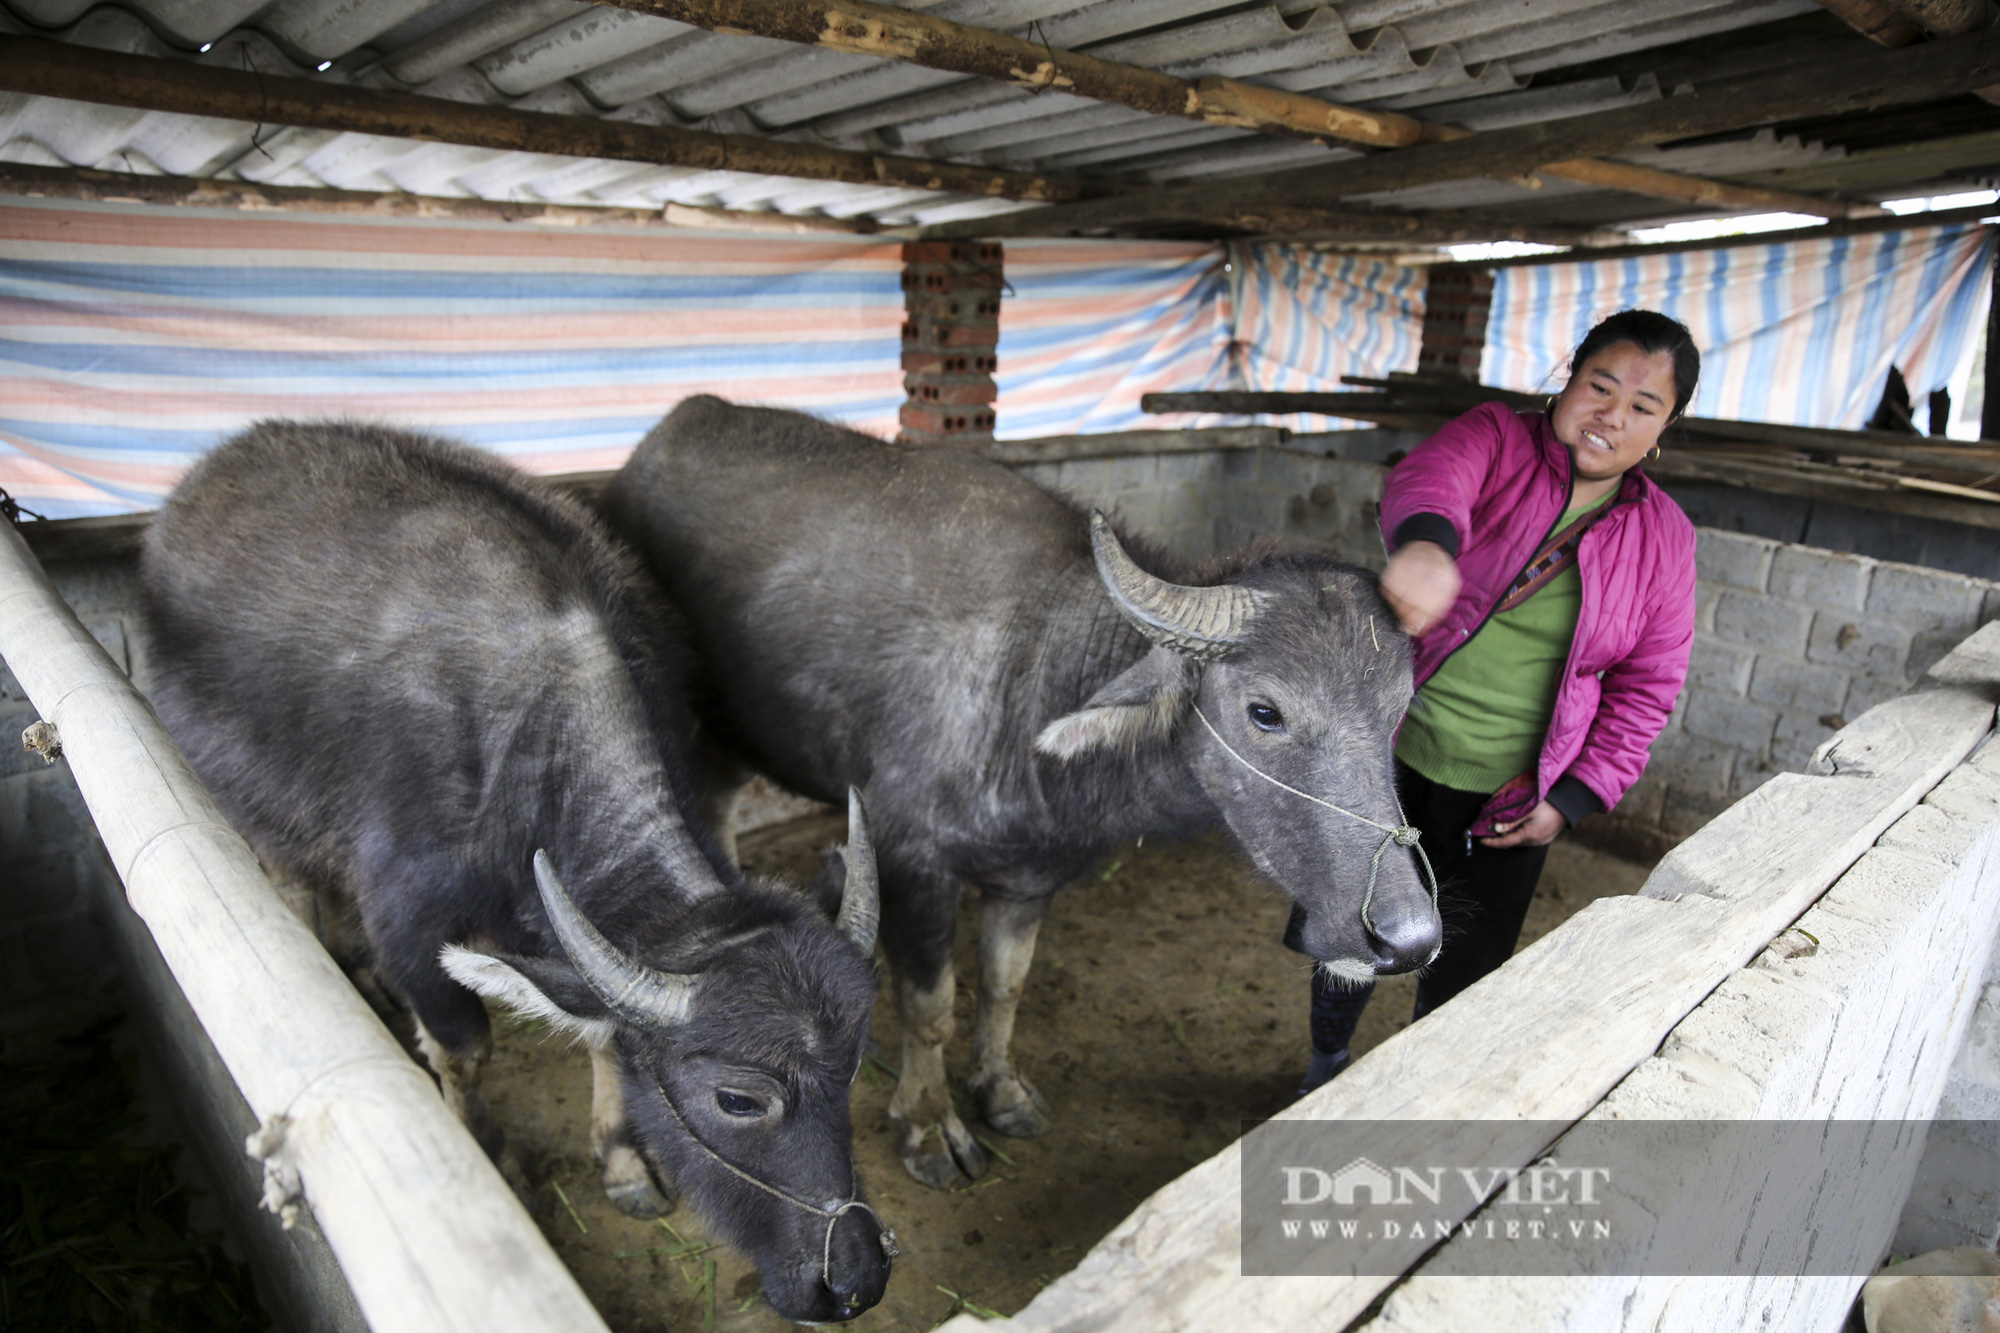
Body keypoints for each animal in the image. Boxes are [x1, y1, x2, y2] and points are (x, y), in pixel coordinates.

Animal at [137, 418, 888, 1320]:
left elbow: (600, 1034)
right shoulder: (411, 919)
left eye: (855, 1064)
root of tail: (203, 482)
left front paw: (623, 1160)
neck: (534, 745)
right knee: (295, 883)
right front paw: (492, 1157)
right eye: (738, 1098)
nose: (854, 1278)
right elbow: (464, 1048)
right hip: (254, 804)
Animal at [600, 394, 1448, 1184]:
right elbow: (932, 1006)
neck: (1033, 684)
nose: (1407, 936)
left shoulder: (1030, 876)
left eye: (1399, 707)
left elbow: (1006, 986)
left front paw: (1001, 1090)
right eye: (1265, 711)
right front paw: (930, 1124)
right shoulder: (914, 866)